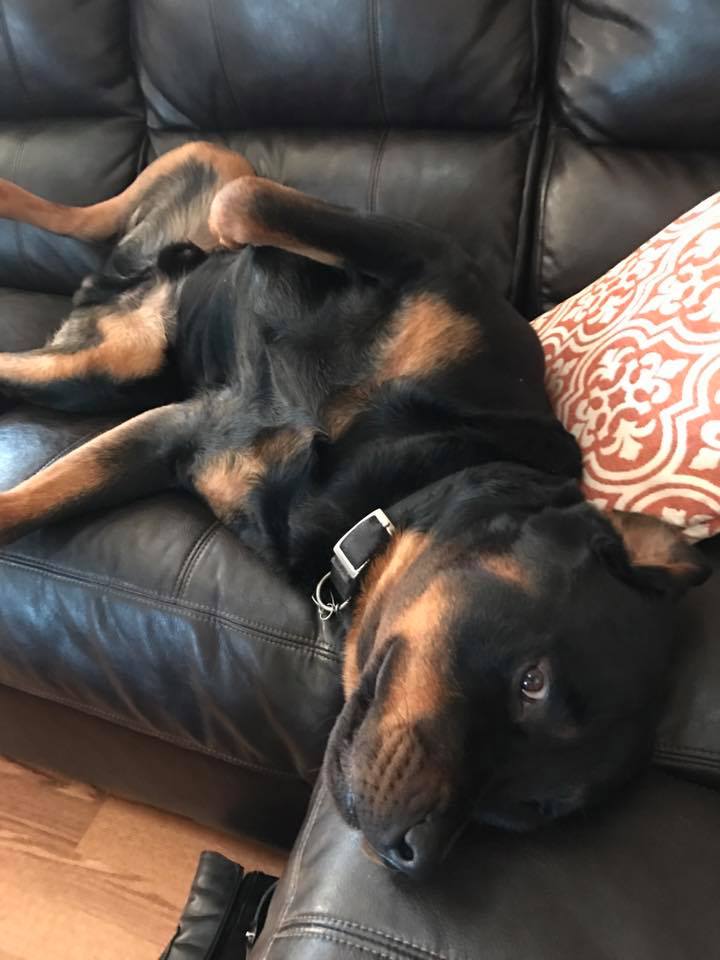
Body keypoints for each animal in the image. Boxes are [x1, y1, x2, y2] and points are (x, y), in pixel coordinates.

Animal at [0, 142, 708, 876]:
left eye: (533, 809)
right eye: (532, 684)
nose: (415, 854)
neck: (403, 473)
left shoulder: (187, 434)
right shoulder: (415, 255)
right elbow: (244, 205)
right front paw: (241, 253)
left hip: (106, 370)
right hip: (192, 195)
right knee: (133, 209)